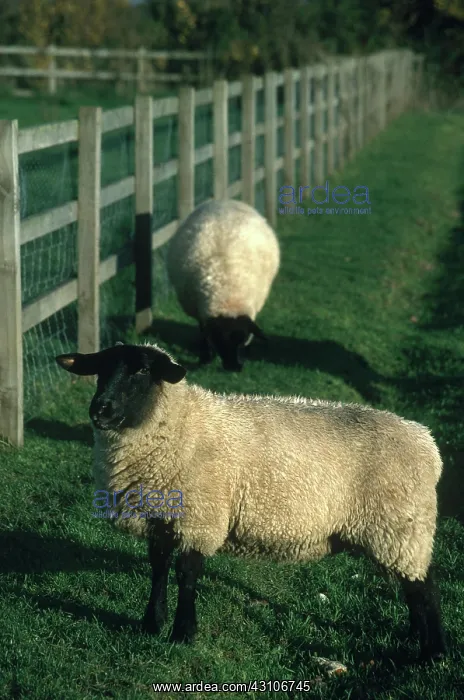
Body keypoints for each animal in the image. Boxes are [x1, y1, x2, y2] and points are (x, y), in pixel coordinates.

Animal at [55, 341, 447, 663]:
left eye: (142, 371)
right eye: (100, 369)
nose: (100, 410)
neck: (180, 427)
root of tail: (427, 443)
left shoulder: (200, 518)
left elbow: (187, 575)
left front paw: (182, 634)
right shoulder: (160, 520)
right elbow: (158, 569)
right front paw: (151, 623)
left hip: (402, 525)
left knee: (425, 587)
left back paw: (433, 653)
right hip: (396, 530)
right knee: (411, 585)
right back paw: (413, 637)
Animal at [166, 198, 280, 371]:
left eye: (243, 340)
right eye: (219, 340)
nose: (234, 367)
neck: (228, 293)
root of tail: (226, 200)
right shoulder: (201, 313)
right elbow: (203, 335)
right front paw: (206, 358)